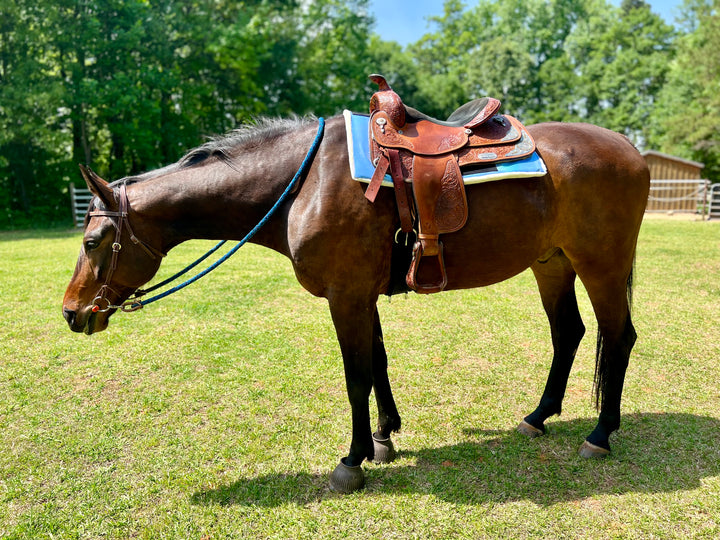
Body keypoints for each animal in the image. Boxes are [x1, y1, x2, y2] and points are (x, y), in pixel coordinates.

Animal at [63, 114, 652, 494]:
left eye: (92, 242)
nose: (72, 312)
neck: (302, 184)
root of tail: (630, 150)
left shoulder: (346, 296)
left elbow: (355, 375)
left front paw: (353, 460)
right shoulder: (361, 294)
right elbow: (379, 363)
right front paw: (384, 437)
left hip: (600, 263)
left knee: (618, 337)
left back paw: (601, 434)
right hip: (551, 262)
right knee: (568, 334)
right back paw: (537, 417)